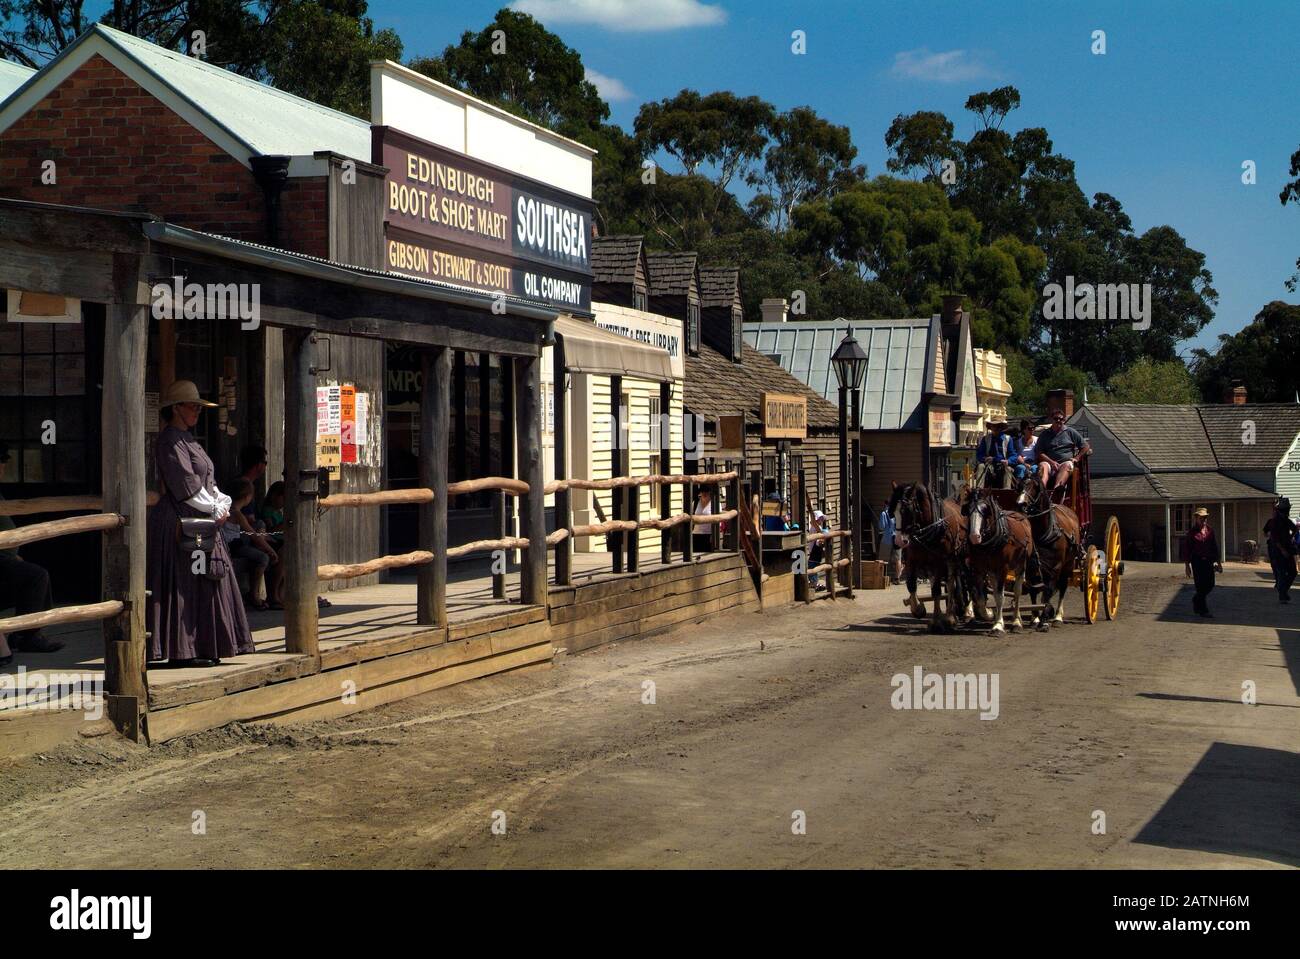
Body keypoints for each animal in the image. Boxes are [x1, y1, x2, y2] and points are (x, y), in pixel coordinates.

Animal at [894, 480, 967, 631]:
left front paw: (937, 620)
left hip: (953, 559)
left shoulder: (939, 561)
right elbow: (911, 584)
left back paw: (952, 616)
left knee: (952, 584)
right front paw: (918, 609)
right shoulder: (912, 560)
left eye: (907, 511)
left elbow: (937, 590)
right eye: (893, 512)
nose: (898, 541)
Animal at [972, 493, 1029, 628]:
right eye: (969, 513)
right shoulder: (980, 569)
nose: (974, 537)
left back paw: (1016, 619)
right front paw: (990, 615)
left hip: (1021, 564)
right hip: (993, 571)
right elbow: (982, 598)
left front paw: (998, 624)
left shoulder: (1003, 569)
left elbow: (1000, 596)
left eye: (984, 513)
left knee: (1017, 591)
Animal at [1019, 478, 1081, 628]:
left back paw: (1058, 616)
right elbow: (1034, 591)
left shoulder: (1055, 568)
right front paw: (1035, 617)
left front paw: (1045, 618)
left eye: (1033, 487)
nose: (1021, 503)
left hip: (1067, 565)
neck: (1044, 534)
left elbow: (1048, 591)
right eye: (1019, 485)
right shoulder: (1032, 567)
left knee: (1062, 587)